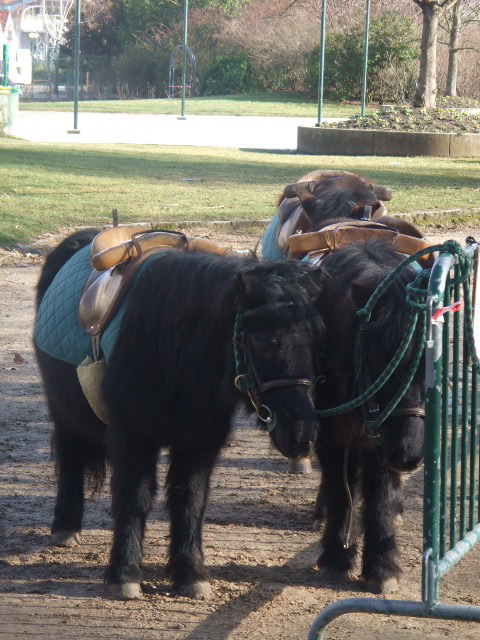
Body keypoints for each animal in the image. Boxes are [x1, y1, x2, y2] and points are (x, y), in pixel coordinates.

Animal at [35, 230, 324, 600]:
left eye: (315, 340)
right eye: (263, 342)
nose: (302, 432)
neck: (175, 349)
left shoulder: (200, 441)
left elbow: (190, 500)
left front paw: (190, 573)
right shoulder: (132, 436)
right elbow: (134, 498)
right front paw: (124, 573)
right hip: (63, 411)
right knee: (70, 458)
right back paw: (66, 526)